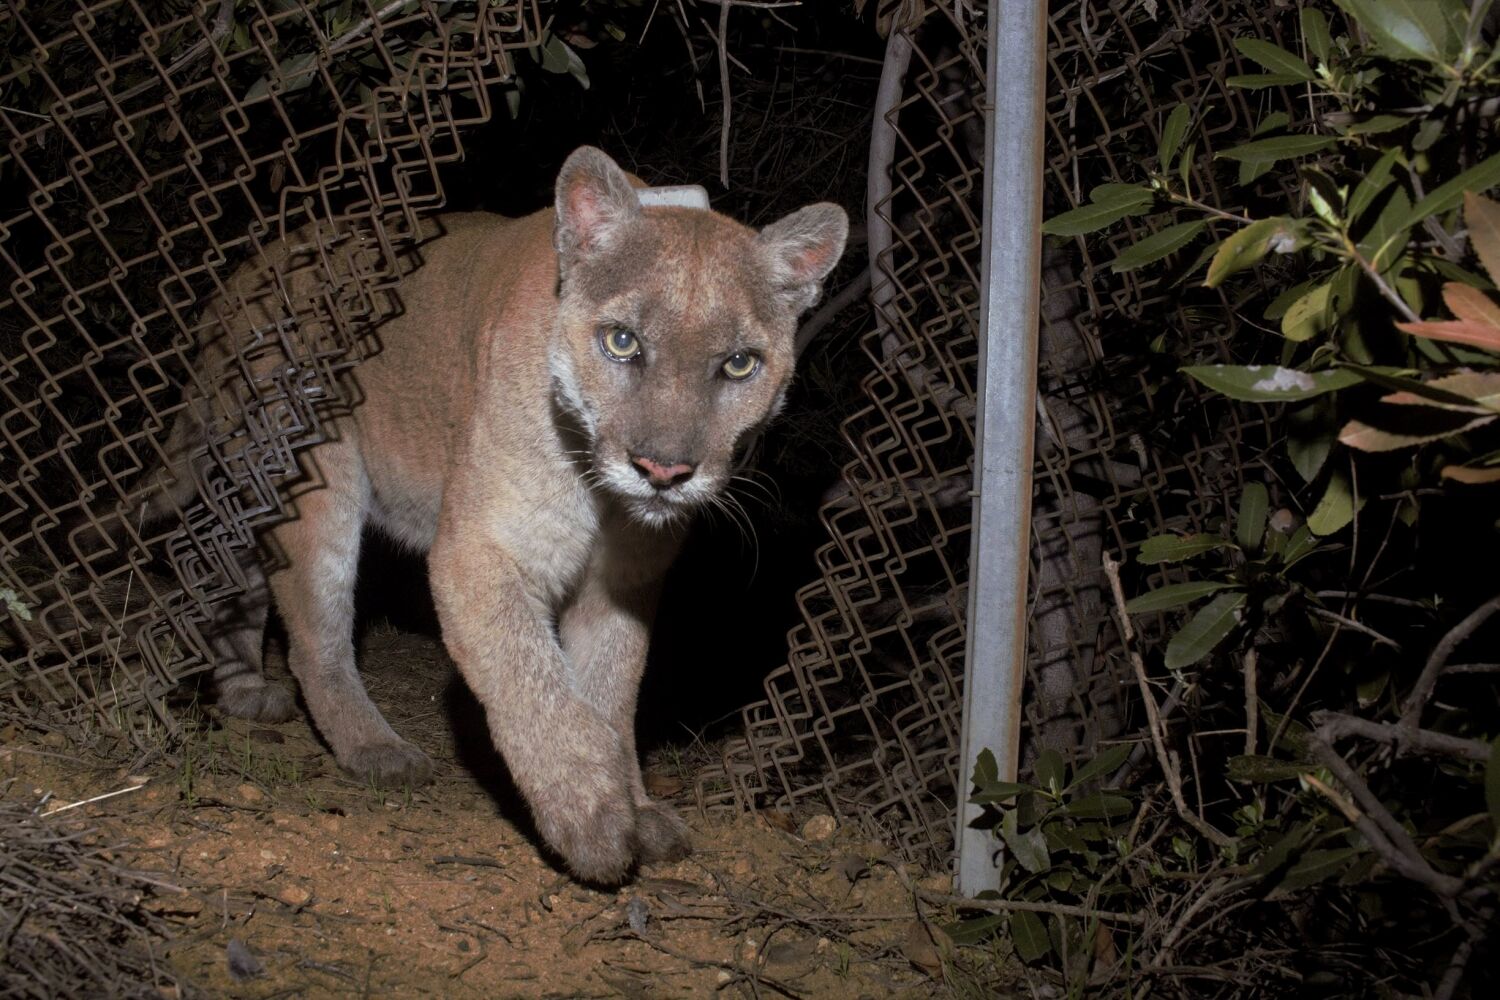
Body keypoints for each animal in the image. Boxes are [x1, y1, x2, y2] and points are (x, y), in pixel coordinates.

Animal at [158, 148, 852, 881]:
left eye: (740, 364)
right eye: (623, 342)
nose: (663, 471)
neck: (602, 500)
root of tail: (240, 277)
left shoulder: (624, 583)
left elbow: (611, 693)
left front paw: (636, 808)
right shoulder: (481, 552)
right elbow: (530, 676)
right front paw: (591, 816)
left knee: (230, 569)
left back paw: (242, 690)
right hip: (317, 475)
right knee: (315, 636)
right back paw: (377, 750)